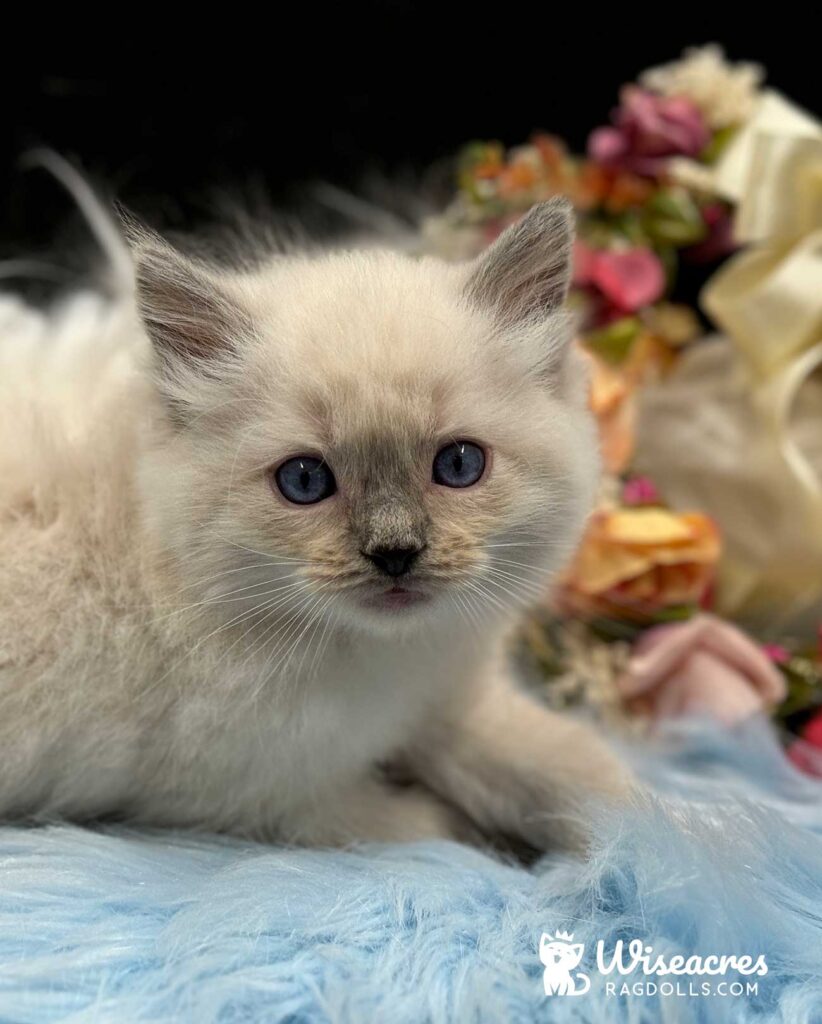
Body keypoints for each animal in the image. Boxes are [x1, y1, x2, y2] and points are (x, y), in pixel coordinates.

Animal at [0, 197, 630, 847]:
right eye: (304, 481)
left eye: (459, 465)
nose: (395, 552)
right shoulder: (256, 799)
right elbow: (427, 825)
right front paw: (492, 842)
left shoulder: (438, 700)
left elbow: (560, 767)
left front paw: (627, 832)